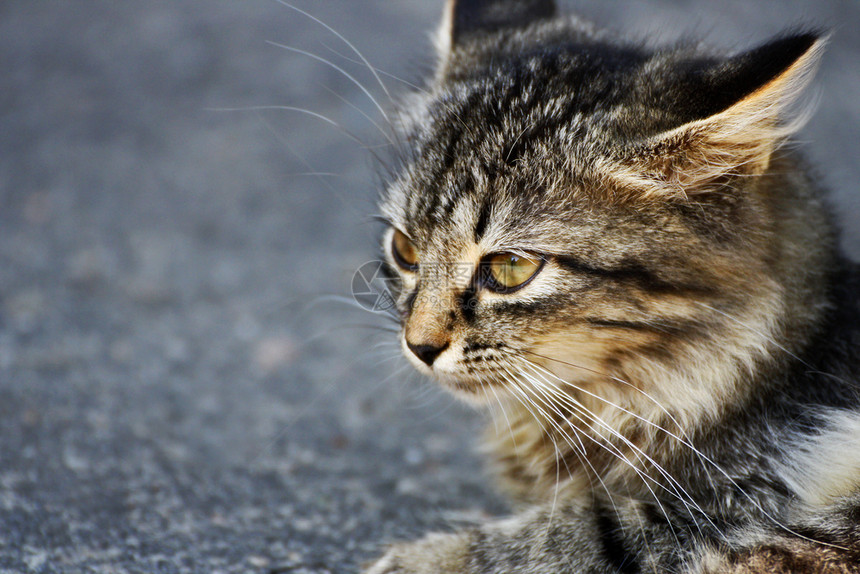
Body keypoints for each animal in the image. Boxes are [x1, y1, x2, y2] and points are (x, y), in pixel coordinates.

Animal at [362, 1, 860, 572]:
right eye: (405, 249)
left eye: (510, 268)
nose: (419, 346)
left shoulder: (746, 506)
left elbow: (581, 532)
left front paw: (422, 558)